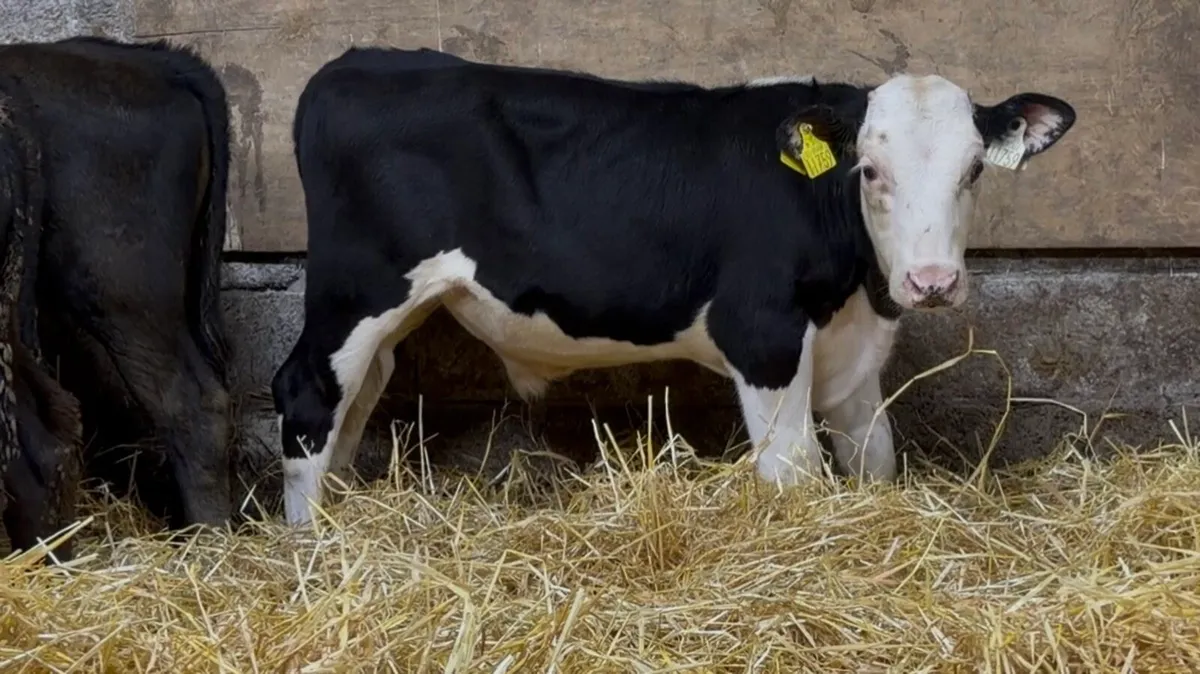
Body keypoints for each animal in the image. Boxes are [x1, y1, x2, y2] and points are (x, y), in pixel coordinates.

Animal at [272, 46, 1076, 526]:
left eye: (974, 170)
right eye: (870, 170)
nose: (931, 281)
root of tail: (356, 61)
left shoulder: (852, 358)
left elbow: (873, 459)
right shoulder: (762, 335)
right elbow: (794, 471)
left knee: (358, 396)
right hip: (357, 290)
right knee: (307, 391)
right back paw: (315, 546)